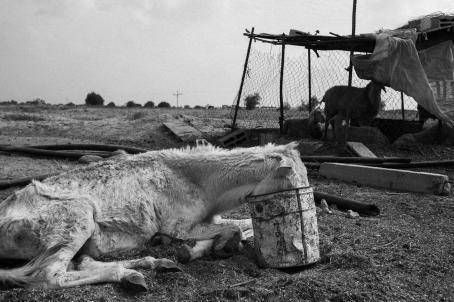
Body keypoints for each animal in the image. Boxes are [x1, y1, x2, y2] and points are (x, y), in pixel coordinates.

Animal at [0, 143, 308, 292]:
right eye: (294, 183)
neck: (196, 180)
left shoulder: (212, 219)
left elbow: (242, 225)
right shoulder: (179, 226)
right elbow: (231, 228)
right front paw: (210, 247)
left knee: (80, 262)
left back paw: (150, 265)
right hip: (76, 218)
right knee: (51, 275)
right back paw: (131, 273)